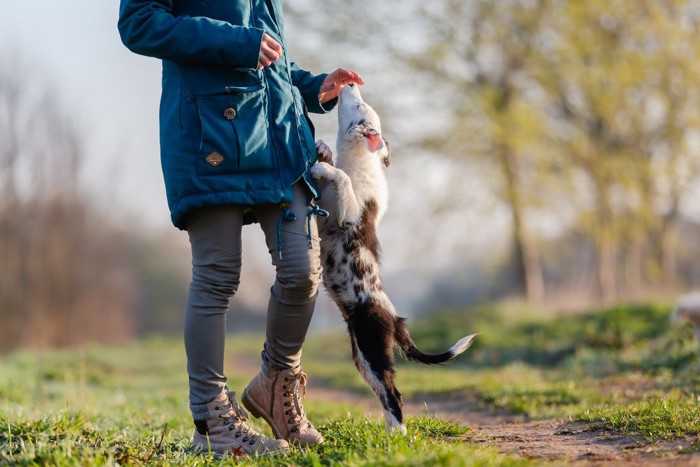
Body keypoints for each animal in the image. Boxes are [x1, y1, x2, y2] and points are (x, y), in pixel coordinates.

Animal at [310, 83, 476, 432]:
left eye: (359, 106)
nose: (350, 83)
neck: (360, 161)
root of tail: (395, 318)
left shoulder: (347, 216)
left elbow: (341, 179)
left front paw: (323, 165)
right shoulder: (323, 214)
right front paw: (322, 150)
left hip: (373, 346)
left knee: (395, 395)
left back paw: (397, 434)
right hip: (363, 357)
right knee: (386, 395)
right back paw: (389, 435)